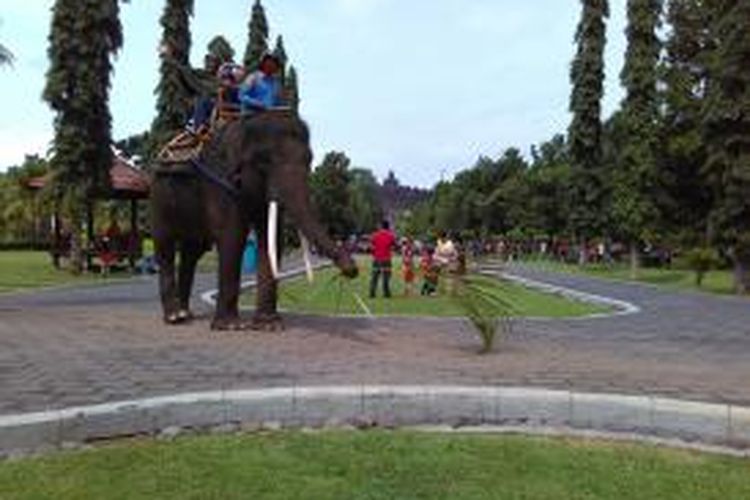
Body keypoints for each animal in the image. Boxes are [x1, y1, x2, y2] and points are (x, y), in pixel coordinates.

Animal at [151, 112, 360, 332]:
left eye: (309, 160)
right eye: (264, 161)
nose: (352, 269)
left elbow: (271, 237)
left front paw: (269, 325)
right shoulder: (221, 183)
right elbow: (233, 235)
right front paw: (230, 327)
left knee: (192, 251)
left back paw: (186, 314)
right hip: (158, 198)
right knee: (165, 246)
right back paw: (174, 317)